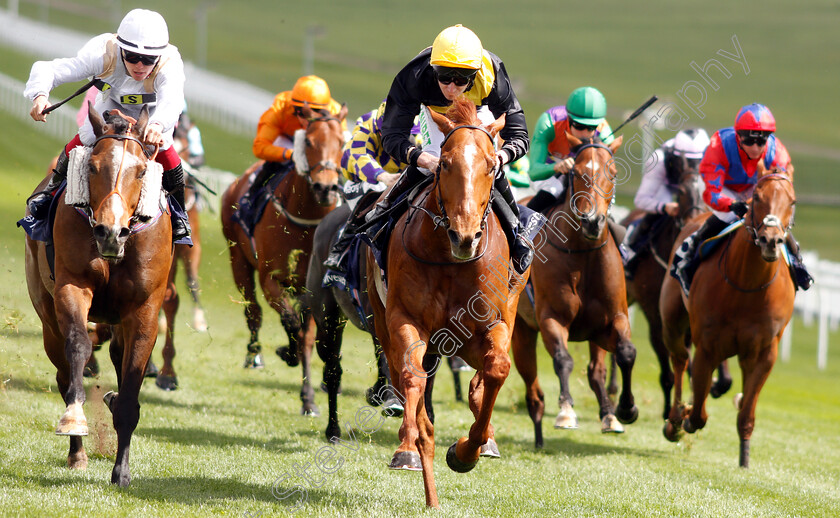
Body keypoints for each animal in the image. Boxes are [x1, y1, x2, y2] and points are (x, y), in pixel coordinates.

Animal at [25, 105, 172, 488]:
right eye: (92, 167)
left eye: (141, 170)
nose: (110, 232)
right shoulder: (72, 287)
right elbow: (78, 345)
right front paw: (74, 419)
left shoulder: (144, 309)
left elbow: (132, 376)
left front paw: (122, 471)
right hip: (46, 315)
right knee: (63, 371)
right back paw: (77, 453)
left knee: (119, 355)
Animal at [220, 103, 348, 416]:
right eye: (310, 142)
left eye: (341, 142)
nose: (326, 188)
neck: (305, 222)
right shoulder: (270, 279)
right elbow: (290, 323)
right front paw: (286, 352)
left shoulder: (311, 290)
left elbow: (306, 337)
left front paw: (308, 399)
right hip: (238, 261)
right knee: (253, 312)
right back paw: (255, 356)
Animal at [370, 99, 524, 510]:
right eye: (444, 164)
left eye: (491, 165)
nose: (464, 236)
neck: (450, 262)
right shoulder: (405, 321)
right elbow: (413, 385)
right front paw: (415, 446)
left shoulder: (489, 325)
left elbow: (498, 369)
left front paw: (467, 450)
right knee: (408, 381)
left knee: (482, 378)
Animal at [508, 132, 640, 448]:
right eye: (577, 173)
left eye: (612, 173)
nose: (592, 221)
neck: (583, 255)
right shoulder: (551, 318)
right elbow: (562, 360)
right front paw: (566, 411)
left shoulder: (612, 319)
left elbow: (625, 353)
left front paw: (625, 409)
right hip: (521, 332)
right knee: (533, 389)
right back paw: (538, 436)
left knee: (596, 371)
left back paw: (608, 415)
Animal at [660, 169, 796, 470]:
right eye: (757, 196)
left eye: (792, 201)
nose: (771, 240)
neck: (747, 286)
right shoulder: (707, 348)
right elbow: (698, 414)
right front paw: (686, 416)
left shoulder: (764, 352)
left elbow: (746, 414)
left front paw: (744, 459)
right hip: (672, 320)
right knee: (679, 360)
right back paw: (674, 420)